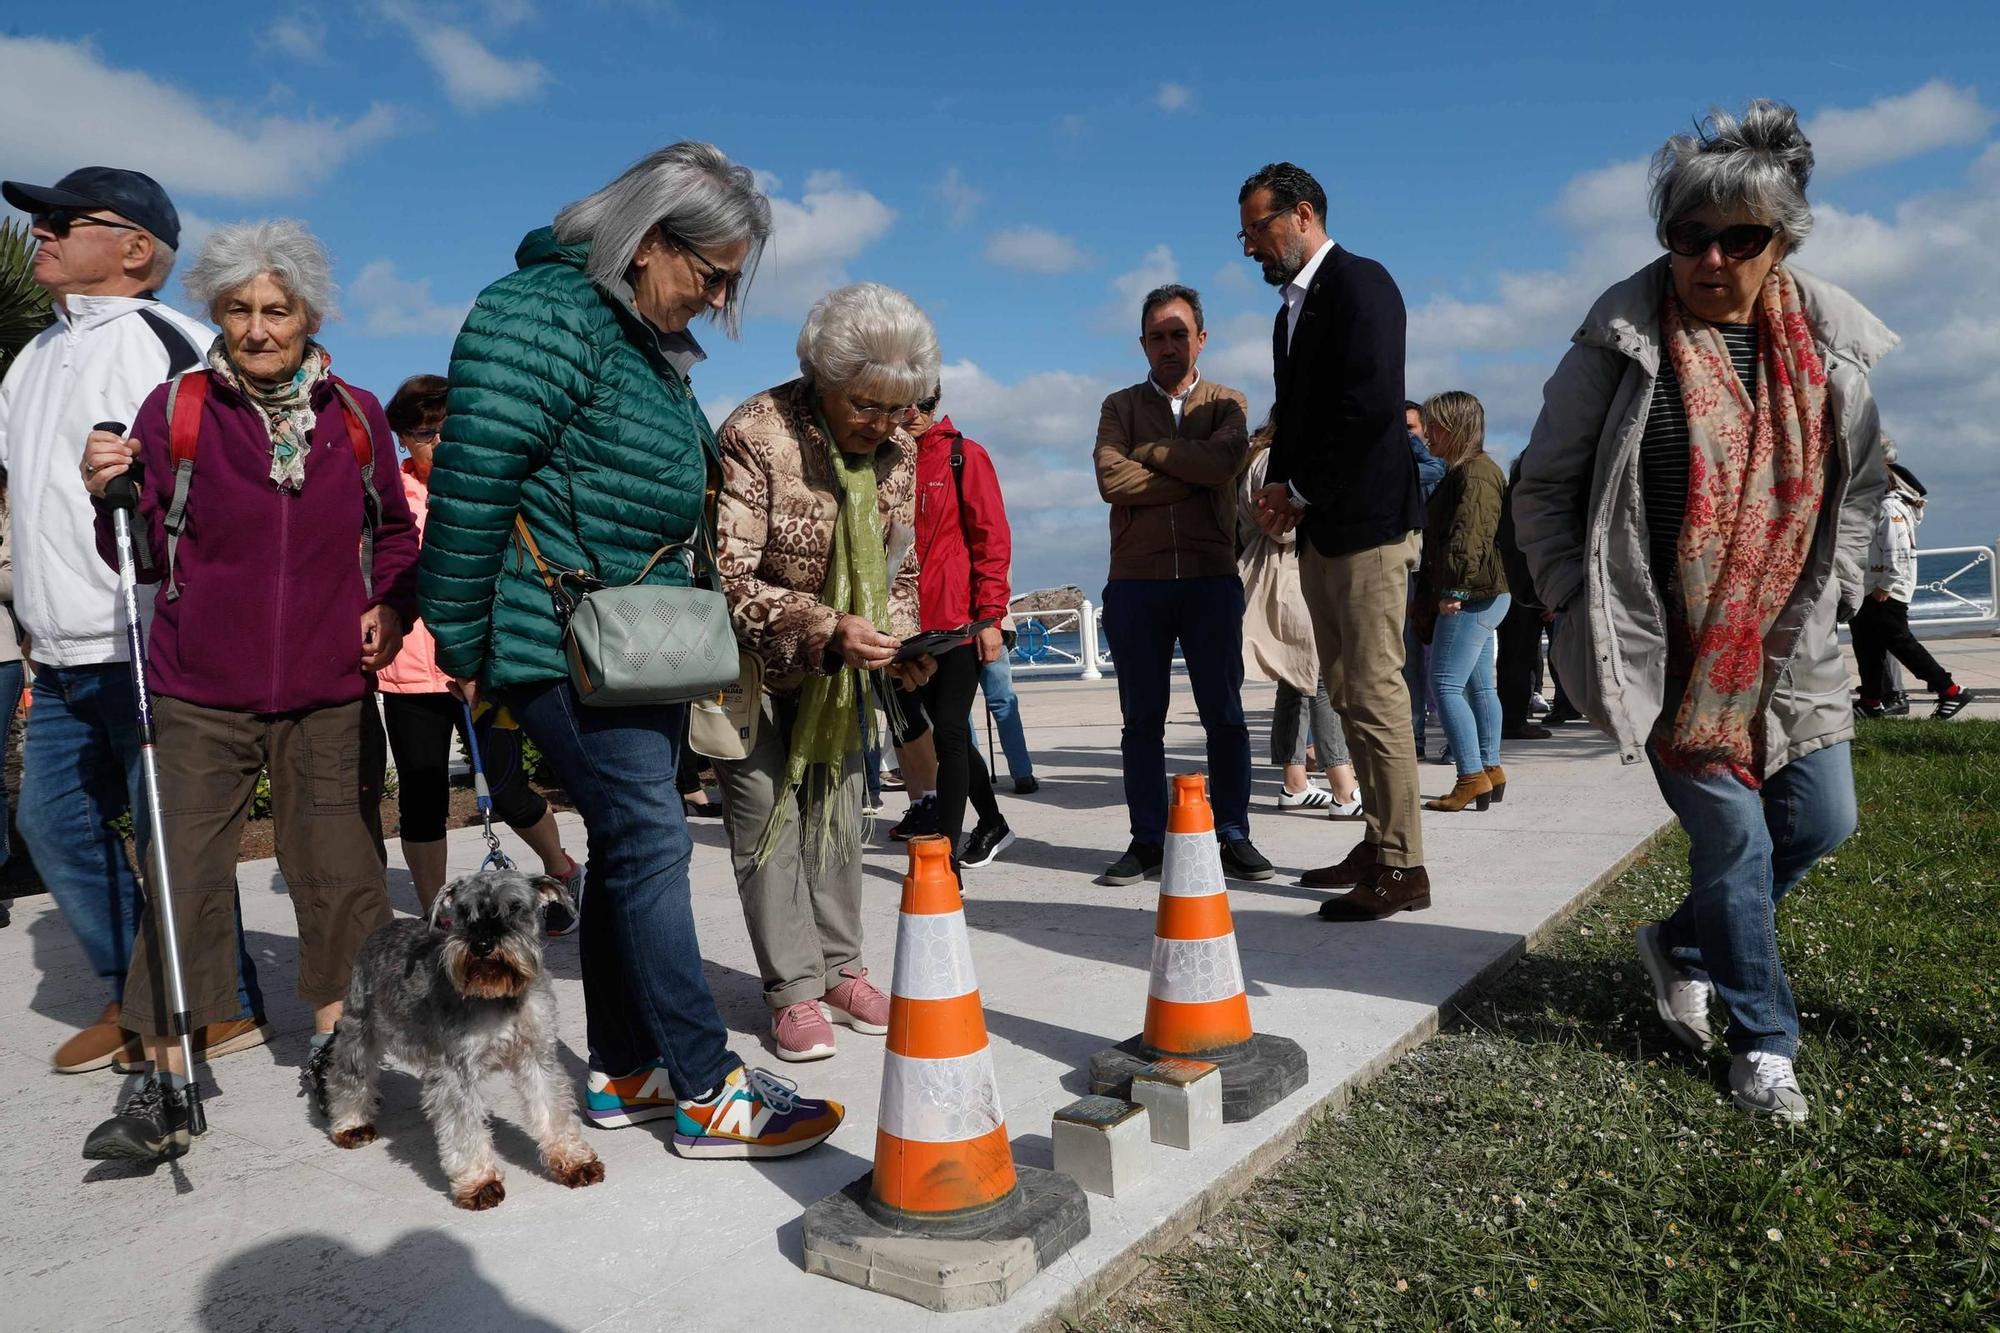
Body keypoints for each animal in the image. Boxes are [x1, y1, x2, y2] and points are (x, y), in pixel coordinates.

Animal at [316, 860, 600, 1200]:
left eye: (515, 907)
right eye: (464, 911)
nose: (482, 944)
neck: (499, 995)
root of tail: (383, 928)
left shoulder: (537, 1057)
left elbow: (552, 1109)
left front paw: (573, 1160)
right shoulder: (456, 1071)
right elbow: (464, 1129)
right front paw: (479, 1182)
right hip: (360, 1029)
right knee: (348, 1075)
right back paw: (350, 1124)